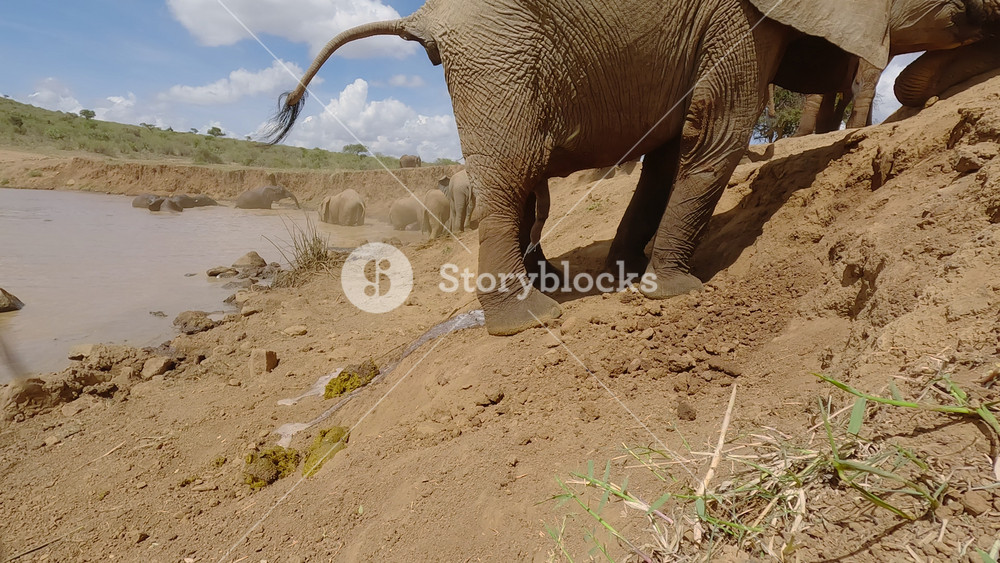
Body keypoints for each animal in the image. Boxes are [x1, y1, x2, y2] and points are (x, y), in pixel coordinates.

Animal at [268, 0, 896, 335]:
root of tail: (427, 16)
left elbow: (674, 146)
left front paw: (629, 275)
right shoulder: (737, 19)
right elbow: (719, 130)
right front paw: (675, 291)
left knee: (525, 182)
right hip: (496, 53)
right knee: (512, 179)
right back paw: (527, 316)